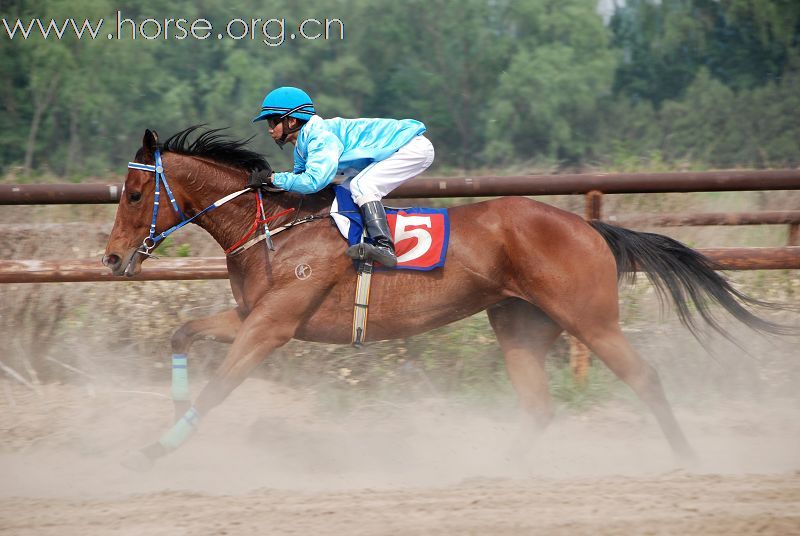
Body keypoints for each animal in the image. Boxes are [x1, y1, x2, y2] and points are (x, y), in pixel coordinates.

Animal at [103, 127, 792, 472]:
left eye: (135, 195)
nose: (111, 258)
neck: (274, 227)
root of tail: (589, 227)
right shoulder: (253, 316)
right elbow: (182, 334)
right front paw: (171, 412)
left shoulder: (273, 326)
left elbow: (220, 387)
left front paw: (153, 450)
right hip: (518, 325)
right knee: (538, 406)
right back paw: (492, 472)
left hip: (589, 319)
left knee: (644, 377)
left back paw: (689, 460)